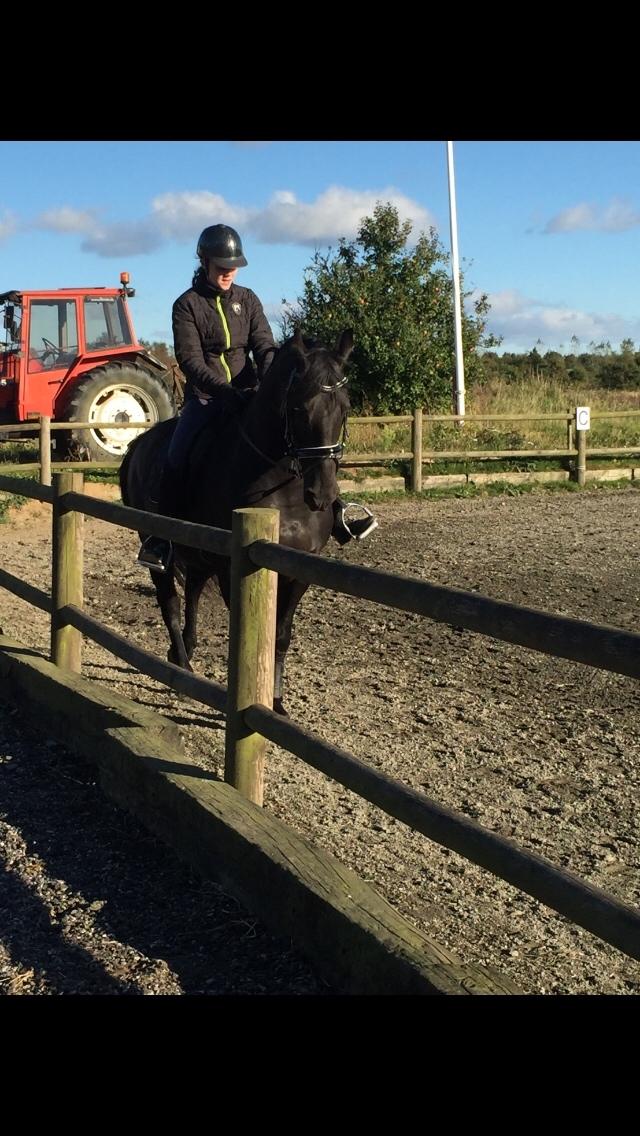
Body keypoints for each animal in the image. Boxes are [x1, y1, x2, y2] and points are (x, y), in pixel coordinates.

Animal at [117, 329, 352, 713]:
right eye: (299, 409)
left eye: (345, 408)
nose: (323, 495)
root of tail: (137, 446)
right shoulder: (233, 569)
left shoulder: (302, 569)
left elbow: (280, 635)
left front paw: (277, 703)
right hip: (156, 545)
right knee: (170, 604)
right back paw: (182, 668)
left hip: (198, 552)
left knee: (193, 590)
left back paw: (184, 651)